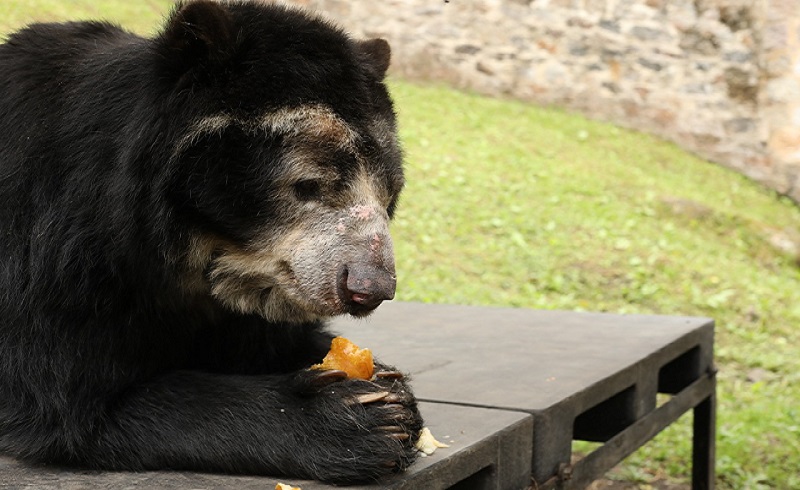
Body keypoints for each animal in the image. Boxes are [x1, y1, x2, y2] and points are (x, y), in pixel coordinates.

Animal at [0, 0, 424, 482]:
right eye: (308, 185)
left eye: (388, 195)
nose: (369, 289)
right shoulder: (53, 255)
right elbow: (69, 401)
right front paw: (353, 417)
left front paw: (394, 392)